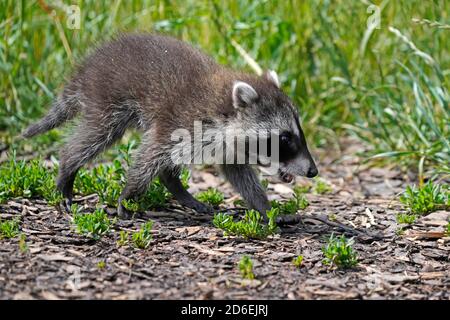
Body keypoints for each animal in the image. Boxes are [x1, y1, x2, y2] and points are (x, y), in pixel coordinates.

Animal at [21, 33, 316, 220]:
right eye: (285, 138)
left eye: (298, 133)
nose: (313, 171)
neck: (224, 108)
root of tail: (86, 68)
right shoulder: (180, 121)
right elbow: (149, 156)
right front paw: (129, 194)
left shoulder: (227, 144)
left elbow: (239, 174)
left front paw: (264, 207)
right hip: (107, 99)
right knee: (95, 136)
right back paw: (67, 169)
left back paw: (179, 190)